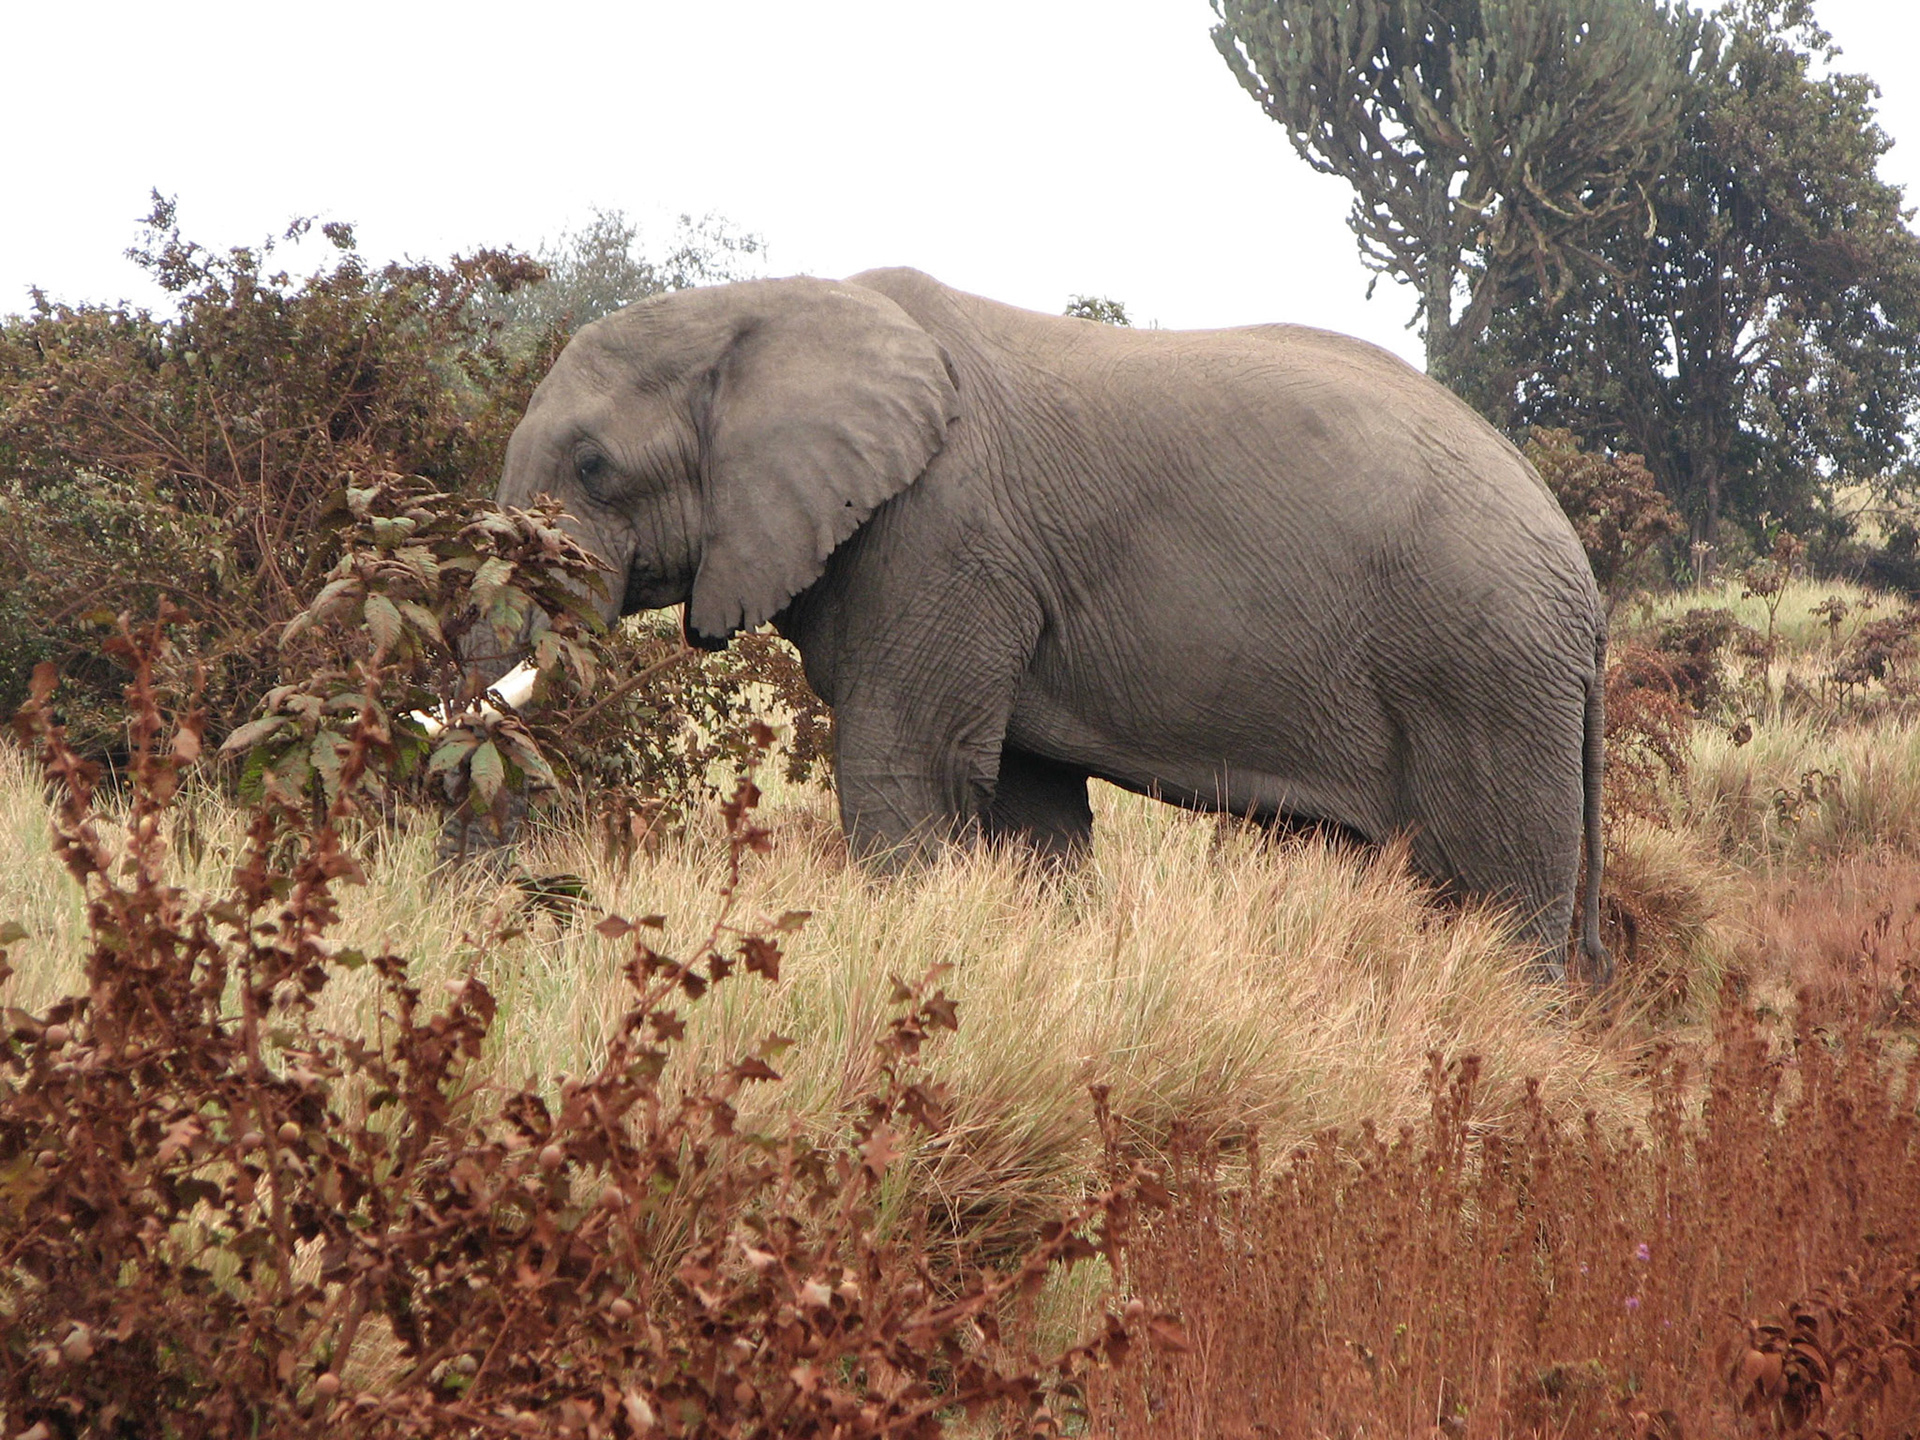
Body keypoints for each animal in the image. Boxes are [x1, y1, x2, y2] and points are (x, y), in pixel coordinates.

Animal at [492, 267, 1609, 982]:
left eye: (593, 465)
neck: (759, 308)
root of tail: (1588, 593)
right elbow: (1031, 809)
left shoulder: (944, 537)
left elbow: (902, 768)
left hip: (1486, 677)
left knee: (1497, 903)